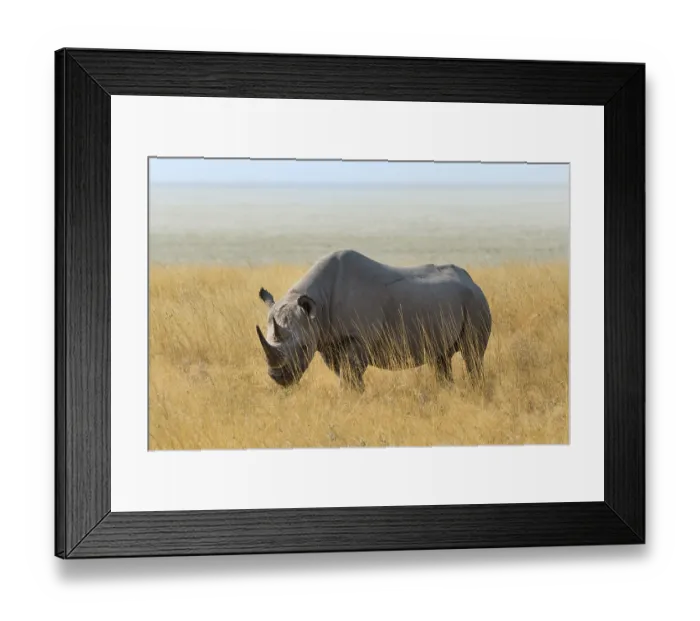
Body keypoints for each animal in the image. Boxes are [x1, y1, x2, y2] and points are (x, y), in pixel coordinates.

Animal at [256, 250, 491, 390]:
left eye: (304, 347)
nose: (278, 377)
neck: (316, 305)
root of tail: (472, 281)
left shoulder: (358, 337)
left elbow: (351, 371)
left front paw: (352, 397)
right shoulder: (326, 338)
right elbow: (343, 372)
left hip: (475, 302)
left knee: (472, 354)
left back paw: (476, 389)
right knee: (440, 357)